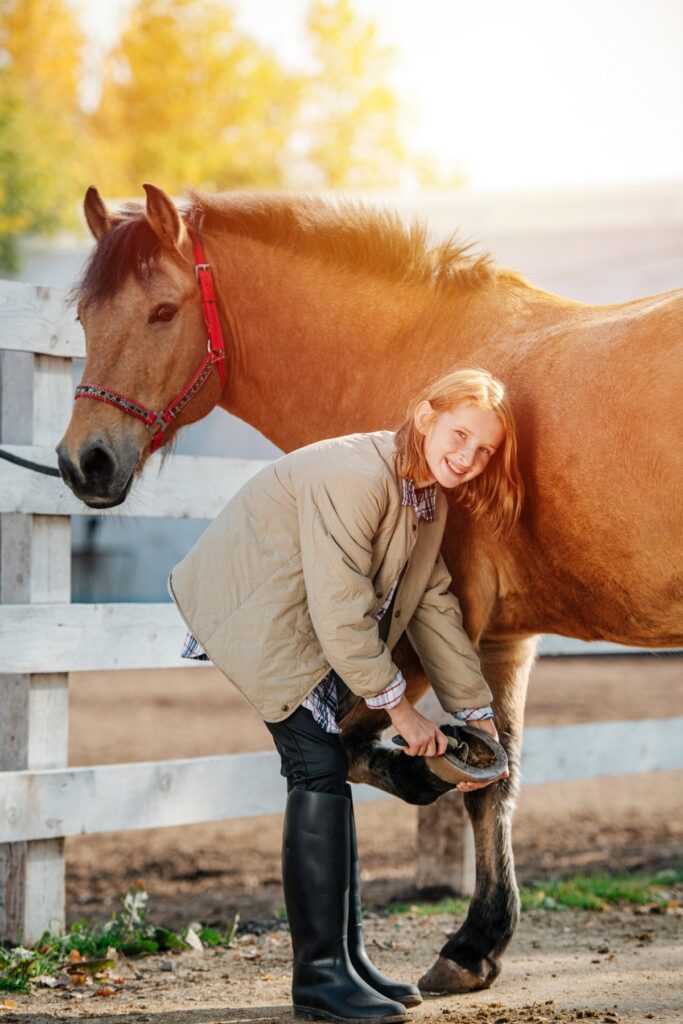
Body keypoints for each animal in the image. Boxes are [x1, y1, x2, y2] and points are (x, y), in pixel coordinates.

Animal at [56, 183, 683, 993]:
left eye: (163, 310)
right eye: (84, 319)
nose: (84, 462)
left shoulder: (421, 631)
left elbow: (370, 749)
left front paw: (426, 797)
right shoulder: (500, 640)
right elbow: (494, 777)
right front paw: (477, 942)